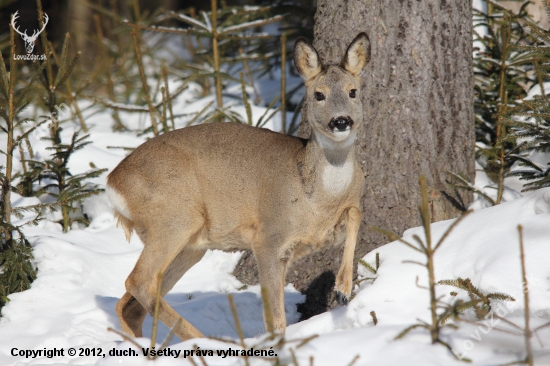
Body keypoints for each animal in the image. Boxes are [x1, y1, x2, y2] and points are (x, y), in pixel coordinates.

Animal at [106, 31, 376, 340]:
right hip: (174, 217)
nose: (341, 121)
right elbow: (276, 318)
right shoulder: (268, 236)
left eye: (353, 91)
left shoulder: (325, 231)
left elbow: (356, 214)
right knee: (138, 281)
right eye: (319, 94)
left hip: (190, 242)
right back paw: (206, 342)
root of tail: (112, 183)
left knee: (130, 303)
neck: (318, 200)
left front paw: (343, 289)